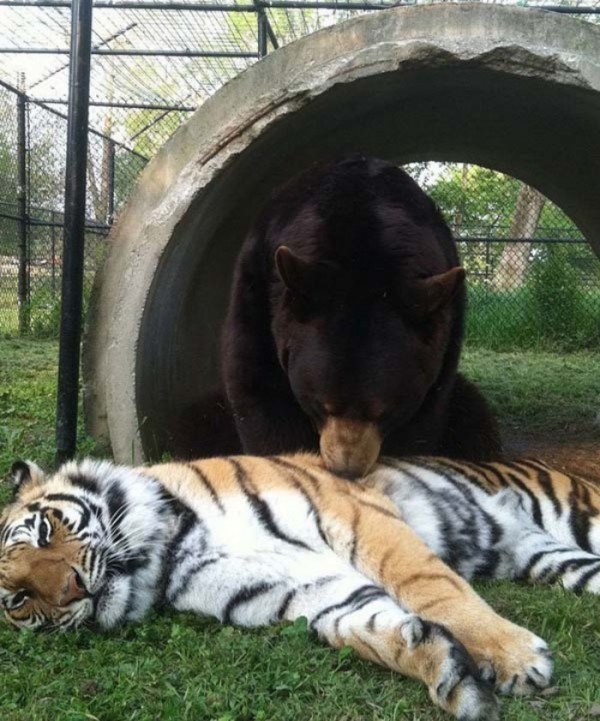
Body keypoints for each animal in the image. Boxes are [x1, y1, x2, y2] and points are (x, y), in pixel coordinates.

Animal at [2, 453, 600, 720]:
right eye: (19, 600)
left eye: (46, 530)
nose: (72, 589)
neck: (168, 552)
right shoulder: (303, 586)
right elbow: (372, 626)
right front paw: (444, 670)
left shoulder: (357, 515)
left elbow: (432, 585)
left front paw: (515, 658)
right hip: (554, 558)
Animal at [221, 155, 501, 477]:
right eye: (321, 404)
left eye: (385, 411)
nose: (347, 469)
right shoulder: (259, 288)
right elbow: (258, 387)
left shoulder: (445, 336)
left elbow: (424, 418)